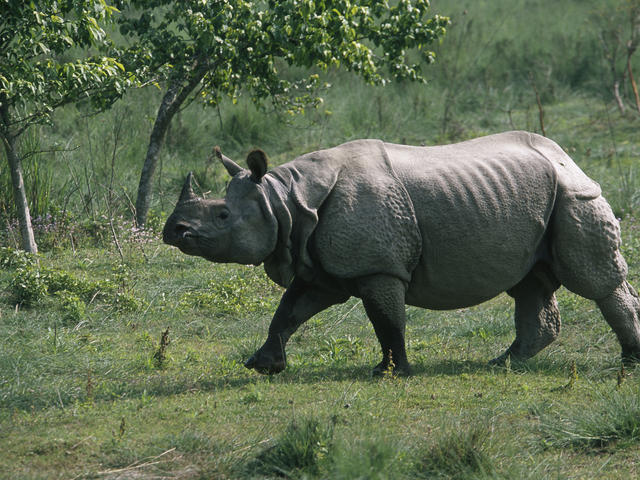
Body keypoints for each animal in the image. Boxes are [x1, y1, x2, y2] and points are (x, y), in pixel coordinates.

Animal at [162, 131, 640, 376]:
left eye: (222, 215)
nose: (173, 231)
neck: (285, 200)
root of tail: (568, 155)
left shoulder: (379, 266)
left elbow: (385, 319)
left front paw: (391, 372)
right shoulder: (320, 264)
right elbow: (290, 310)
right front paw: (263, 365)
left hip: (572, 192)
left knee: (594, 281)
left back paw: (630, 361)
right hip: (535, 196)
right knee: (529, 282)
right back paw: (501, 364)